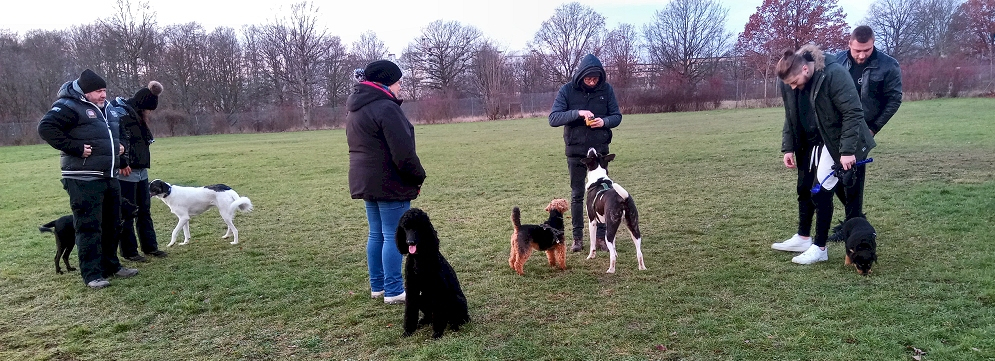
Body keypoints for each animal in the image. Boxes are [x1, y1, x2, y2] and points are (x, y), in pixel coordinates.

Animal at [392, 208, 470, 338]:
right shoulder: (412, 287)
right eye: (405, 227)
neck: (419, 259)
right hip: (421, 298)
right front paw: (408, 330)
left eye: (418, 227)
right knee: (430, 315)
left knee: (459, 318)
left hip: (456, 299)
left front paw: (437, 332)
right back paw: (424, 321)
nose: (410, 242)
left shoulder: (438, 288)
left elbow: (439, 313)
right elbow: (409, 309)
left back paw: (454, 325)